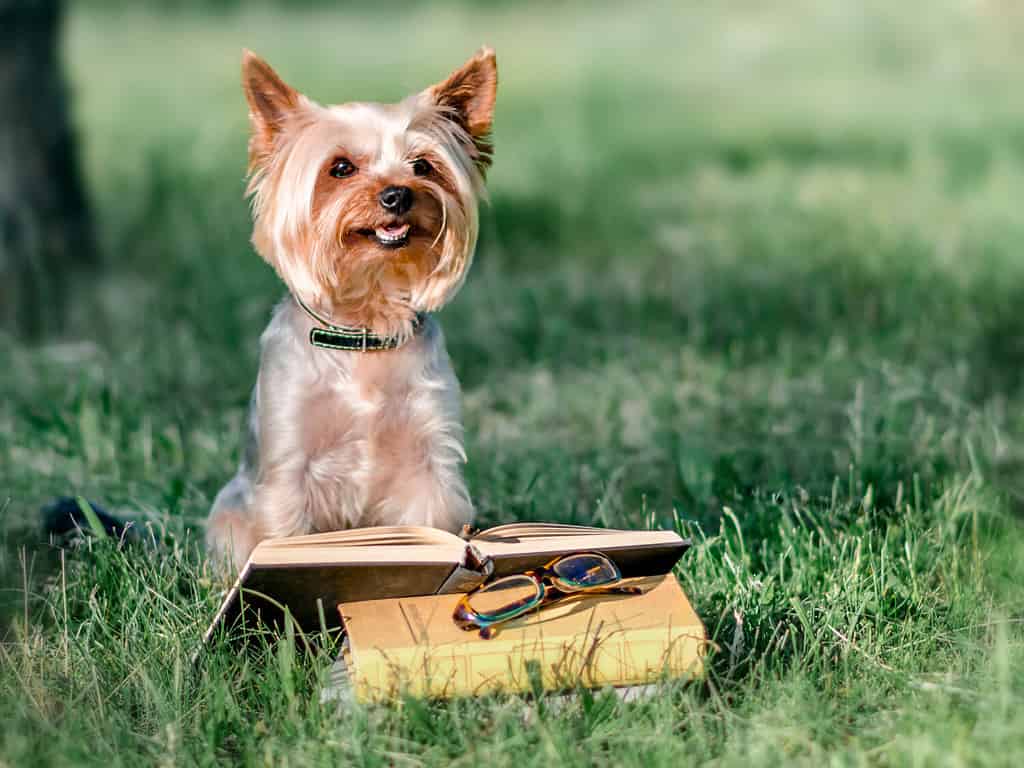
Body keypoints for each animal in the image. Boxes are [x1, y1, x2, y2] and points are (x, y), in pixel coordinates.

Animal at [204, 46, 495, 573]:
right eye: (340, 168)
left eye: (424, 167)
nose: (397, 194)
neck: (366, 327)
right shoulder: (289, 467)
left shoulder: (427, 464)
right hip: (228, 517)